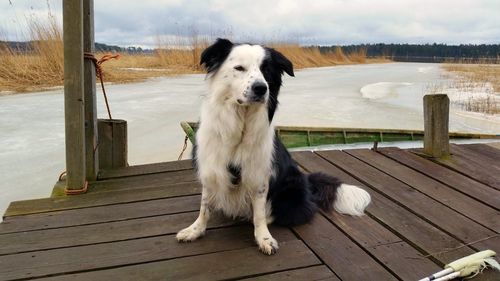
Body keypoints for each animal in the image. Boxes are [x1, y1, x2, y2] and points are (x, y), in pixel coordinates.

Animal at [177, 38, 372, 255]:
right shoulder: (211, 168)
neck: (240, 125)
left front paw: (264, 238)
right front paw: (195, 230)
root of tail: (306, 181)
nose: (261, 88)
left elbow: (259, 213)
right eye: (239, 68)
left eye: (266, 70)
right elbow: (204, 206)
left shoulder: (259, 175)